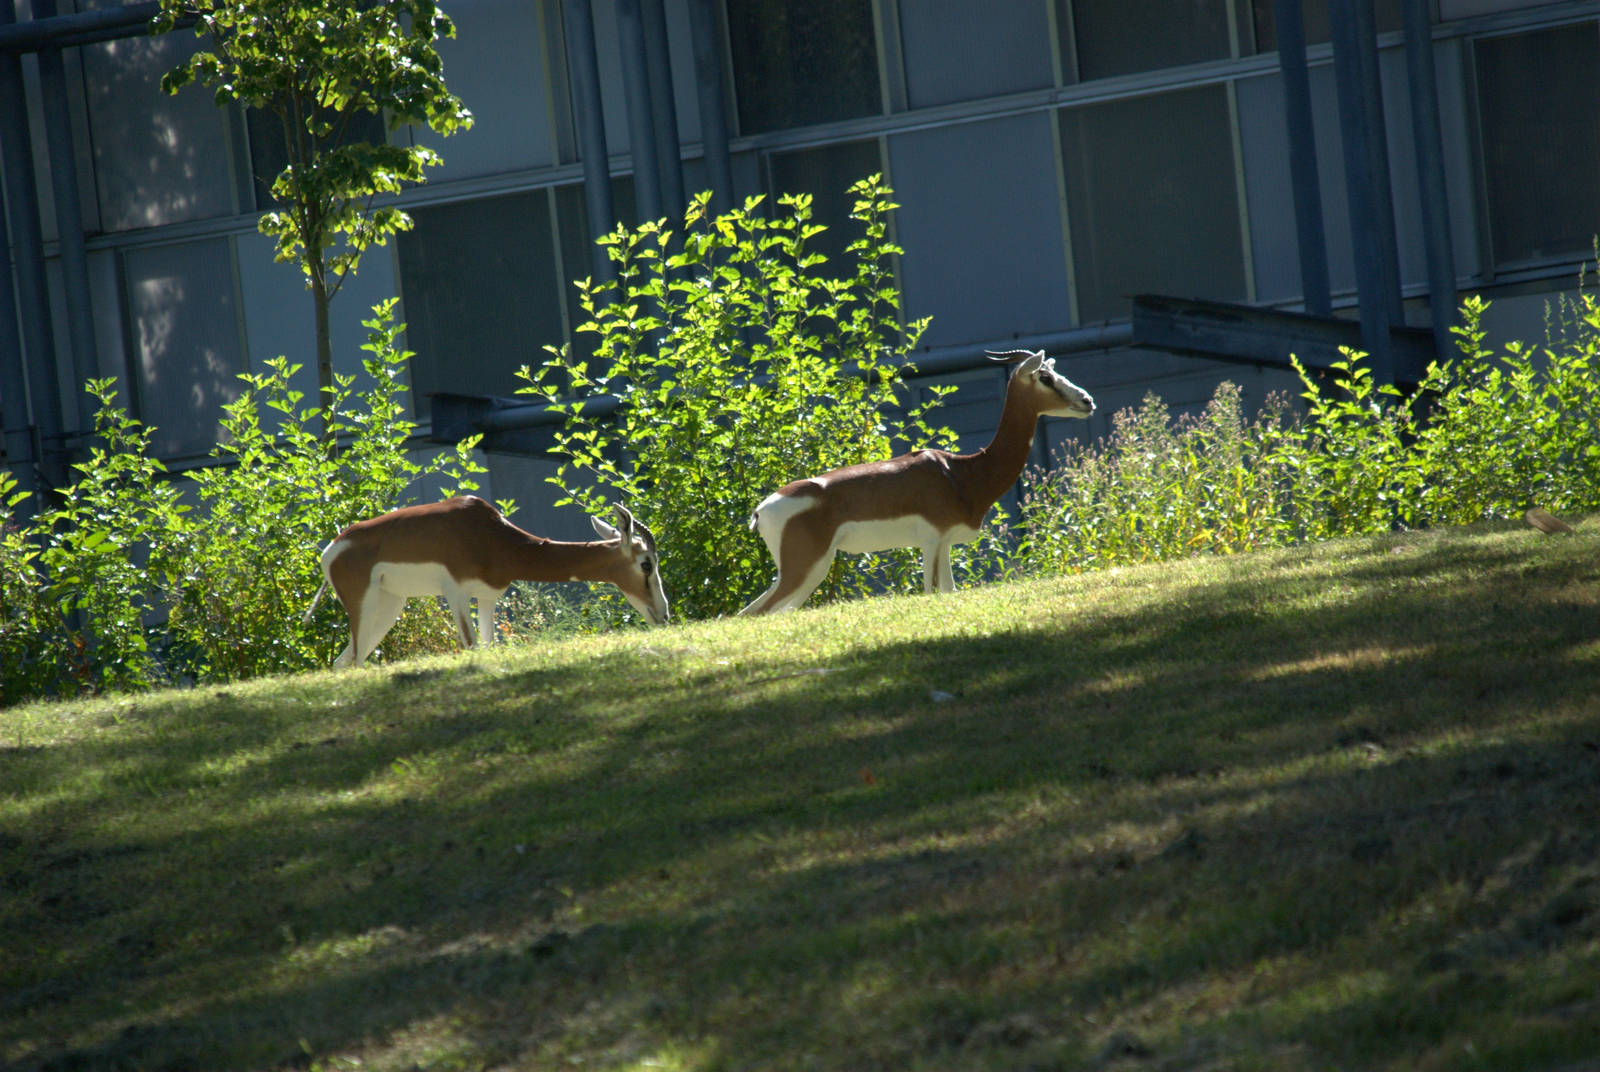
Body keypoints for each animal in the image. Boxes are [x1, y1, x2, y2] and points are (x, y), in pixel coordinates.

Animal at [304, 495, 669, 667]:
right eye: (646, 564)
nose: (663, 614)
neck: (495, 539)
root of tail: (331, 550)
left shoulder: (489, 596)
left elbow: (489, 645)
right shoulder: (456, 593)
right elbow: (471, 647)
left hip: (388, 607)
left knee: (343, 662)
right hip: (363, 606)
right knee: (355, 662)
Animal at [738, 348, 1095, 615]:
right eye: (1045, 377)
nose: (1088, 401)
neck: (960, 473)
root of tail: (760, 510)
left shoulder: (944, 542)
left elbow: (949, 591)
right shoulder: (932, 540)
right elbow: (931, 593)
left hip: (808, 571)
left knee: (753, 612)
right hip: (805, 569)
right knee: (757, 612)